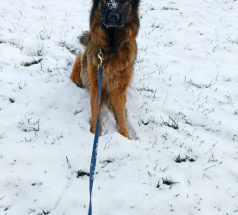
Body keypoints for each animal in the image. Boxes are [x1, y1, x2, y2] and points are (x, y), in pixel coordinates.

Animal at [70, 0, 141, 139]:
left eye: (124, 2)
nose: (113, 17)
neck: (111, 48)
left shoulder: (119, 90)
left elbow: (121, 118)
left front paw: (125, 137)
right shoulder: (96, 85)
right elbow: (96, 111)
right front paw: (95, 133)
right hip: (80, 64)